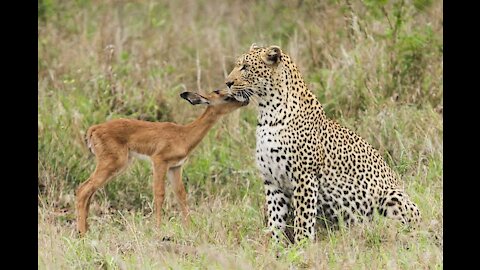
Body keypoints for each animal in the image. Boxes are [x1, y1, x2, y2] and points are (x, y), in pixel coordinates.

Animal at [77, 89, 249, 235]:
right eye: (226, 97)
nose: (245, 101)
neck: (183, 135)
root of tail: (93, 129)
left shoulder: (176, 167)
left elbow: (181, 195)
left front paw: (189, 228)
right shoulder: (159, 161)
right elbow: (159, 194)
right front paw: (158, 228)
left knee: (89, 191)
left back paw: (86, 230)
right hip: (112, 163)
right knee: (83, 189)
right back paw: (82, 233)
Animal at [225, 44, 420, 243]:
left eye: (246, 67)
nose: (227, 83)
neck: (267, 114)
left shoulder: (304, 177)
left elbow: (303, 219)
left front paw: (301, 246)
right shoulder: (272, 181)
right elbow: (275, 219)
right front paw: (276, 245)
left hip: (393, 196)